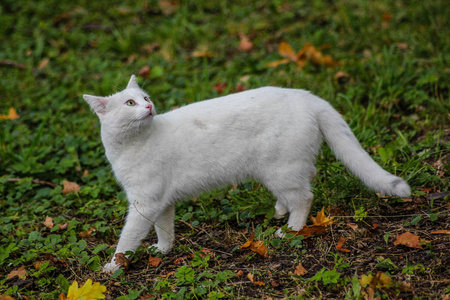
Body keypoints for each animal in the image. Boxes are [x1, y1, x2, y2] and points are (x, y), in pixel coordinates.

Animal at [83, 75, 412, 272]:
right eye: (130, 103)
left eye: (145, 98)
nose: (149, 107)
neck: (129, 147)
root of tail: (308, 96)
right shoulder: (161, 203)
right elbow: (165, 230)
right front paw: (163, 250)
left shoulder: (144, 204)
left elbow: (126, 240)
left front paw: (112, 268)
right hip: (280, 170)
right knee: (306, 181)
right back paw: (279, 211)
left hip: (279, 169)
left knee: (305, 197)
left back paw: (290, 230)